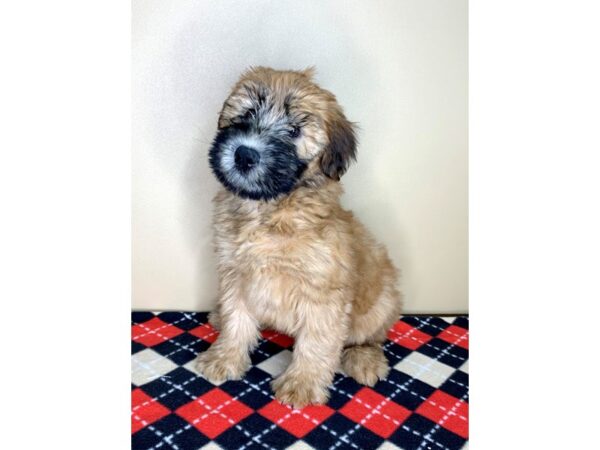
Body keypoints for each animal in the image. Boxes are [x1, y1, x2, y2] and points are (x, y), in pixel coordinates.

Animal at [197, 67, 404, 408]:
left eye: (294, 131)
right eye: (248, 113)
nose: (244, 154)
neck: (270, 209)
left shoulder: (323, 291)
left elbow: (316, 342)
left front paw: (301, 383)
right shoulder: (235, 273)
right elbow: (237, 318)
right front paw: (224, 357)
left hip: (381, 302)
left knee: (371, 336)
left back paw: (364, 358)